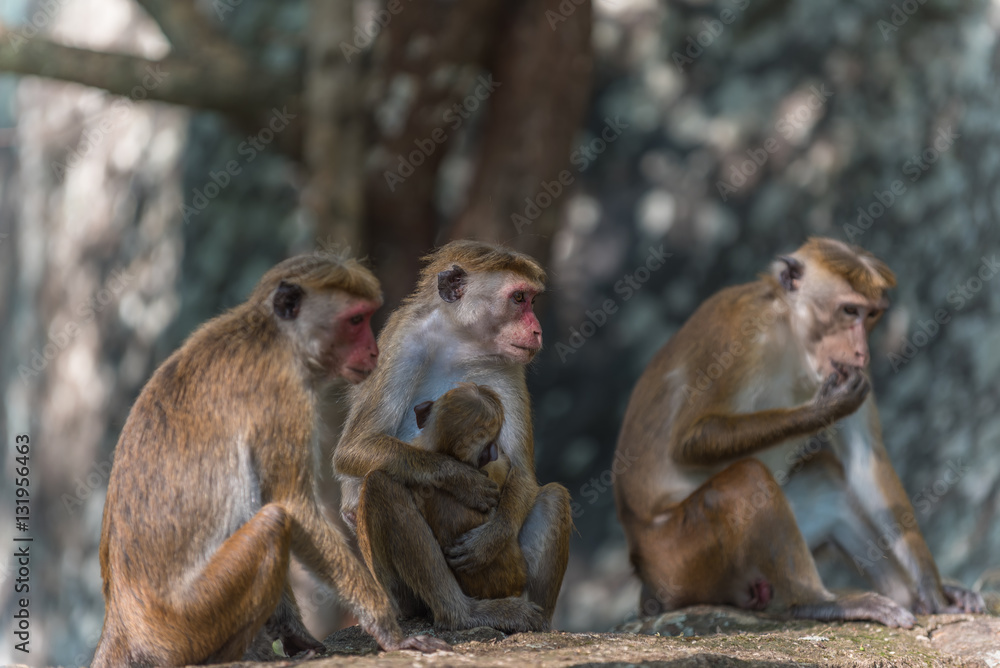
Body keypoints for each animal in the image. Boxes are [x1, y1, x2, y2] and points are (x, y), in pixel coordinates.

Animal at [92, 252, 448, 668]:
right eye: (356, 320)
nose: (375, 352)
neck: (274, 335)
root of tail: (121, 620)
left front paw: (296, 635)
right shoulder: (283, 394)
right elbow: (292, 505)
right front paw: (389, 630)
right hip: (185, 625)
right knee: (274, 522)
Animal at [612, 237, 988, 628]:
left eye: (871, 315)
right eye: (849, 310)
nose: (861, 350)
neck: (792, 336)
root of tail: (647, 578)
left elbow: (865, 461)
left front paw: (935, 590)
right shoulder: (738, 331)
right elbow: (690, 440)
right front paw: (824, 409)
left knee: (826, 481)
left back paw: (914, 599)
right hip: (679, 561)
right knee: (747, 478)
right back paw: (818, 602)